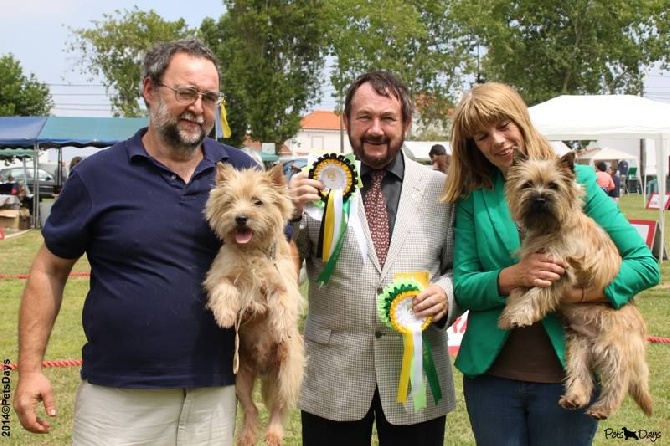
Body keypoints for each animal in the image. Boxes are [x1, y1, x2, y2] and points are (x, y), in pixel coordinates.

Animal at [203, 164, 306, 446]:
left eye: (258, 201)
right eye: (230, 202)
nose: (241, 218)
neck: (252, 250)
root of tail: (262, 370)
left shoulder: (283, 281)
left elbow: (282, 301)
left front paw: (281, 327)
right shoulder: (221, 274)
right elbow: (225, 289)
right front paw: (226, 316)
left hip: (287, 372)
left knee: (278, 408)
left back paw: (273, 434)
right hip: (240, 378)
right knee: (252, 408)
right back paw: (248, 436)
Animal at [502, 152, 652, 420]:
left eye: (553, 186)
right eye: (527, 184)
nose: (539, 198)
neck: (549, 228)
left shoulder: (559, 270)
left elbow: (536, 294)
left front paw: (521, 314)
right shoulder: (530, 267)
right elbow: (519, 289)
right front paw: (509, 314)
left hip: (613, 347)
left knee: (618, 381)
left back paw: (602, 408)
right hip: (578, 349)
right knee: (581, 377)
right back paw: (574, 398)